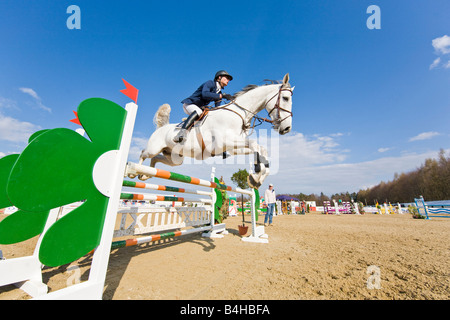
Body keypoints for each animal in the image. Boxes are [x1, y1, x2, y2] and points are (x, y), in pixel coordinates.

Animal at [133, 73, 296, 188]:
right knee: (143, 153)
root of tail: (162, 128)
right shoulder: (225, 141)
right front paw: (256, 174)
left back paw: (145, 175)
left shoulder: (233, 148)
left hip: (174, 159)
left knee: (156, 159)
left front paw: (256, 178)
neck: (238, 113)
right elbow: (255, 145)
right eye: (286, 98)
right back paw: (135, 171)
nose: (287, 129)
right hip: (154, 148)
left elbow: (261, 150)